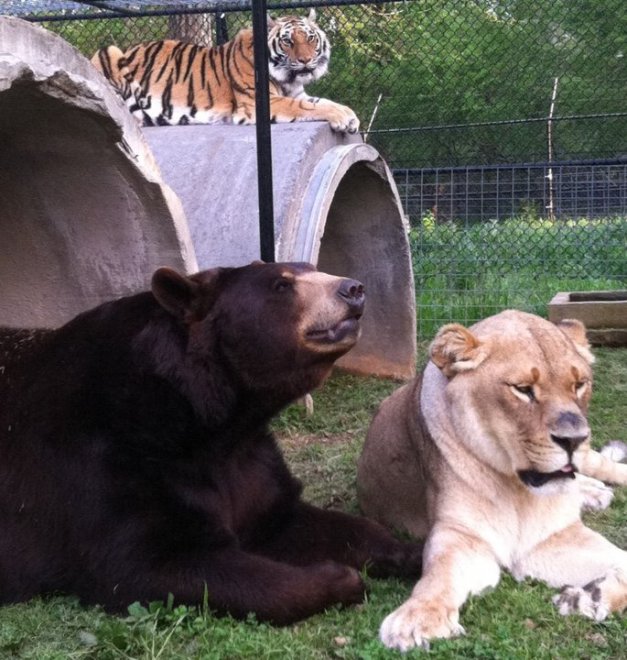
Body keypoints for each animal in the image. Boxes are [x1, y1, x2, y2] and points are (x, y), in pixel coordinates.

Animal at [0, 261, 422, 624]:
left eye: (310, 267)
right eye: (281, 285)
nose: (354, 288)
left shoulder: (248, 457)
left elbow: (284, 517)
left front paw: (411, 553)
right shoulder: (104, 461)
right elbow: (151, 562)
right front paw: (338, 578)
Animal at [91, 9, 359, 133]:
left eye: (310, 38)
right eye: (288, 41)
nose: (305, 60)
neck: (287, 79)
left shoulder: (296, 93)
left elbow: (320, 101)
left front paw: (350, 115)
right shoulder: (259, 102)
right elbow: (306, 107)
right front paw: (342, 117)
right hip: (108, 52)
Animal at [357, 310, 627, 651]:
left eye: (579, 384)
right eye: (522, 389)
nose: (574, 439)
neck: (519, 490)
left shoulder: (554, 537)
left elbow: (623, 561)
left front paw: (589, 599)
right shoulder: (462, 537)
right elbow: (440, 577)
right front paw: (417, 618)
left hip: (590, 458)